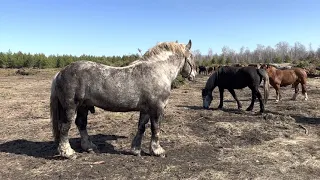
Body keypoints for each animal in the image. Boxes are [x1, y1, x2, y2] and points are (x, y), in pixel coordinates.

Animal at [50, 39, 196, 159]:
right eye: (192, 57)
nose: (194, 75)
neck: (157, 70)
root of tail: (60, 73)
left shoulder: (146, 109)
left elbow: (141, 127)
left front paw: (135, 150)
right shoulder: (157, 108)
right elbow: (156, 129)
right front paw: (157, 151)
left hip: (83, 107)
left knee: (81, 124)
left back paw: (89, 147)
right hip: (70, 108)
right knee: (65, 127)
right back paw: (68, 153)